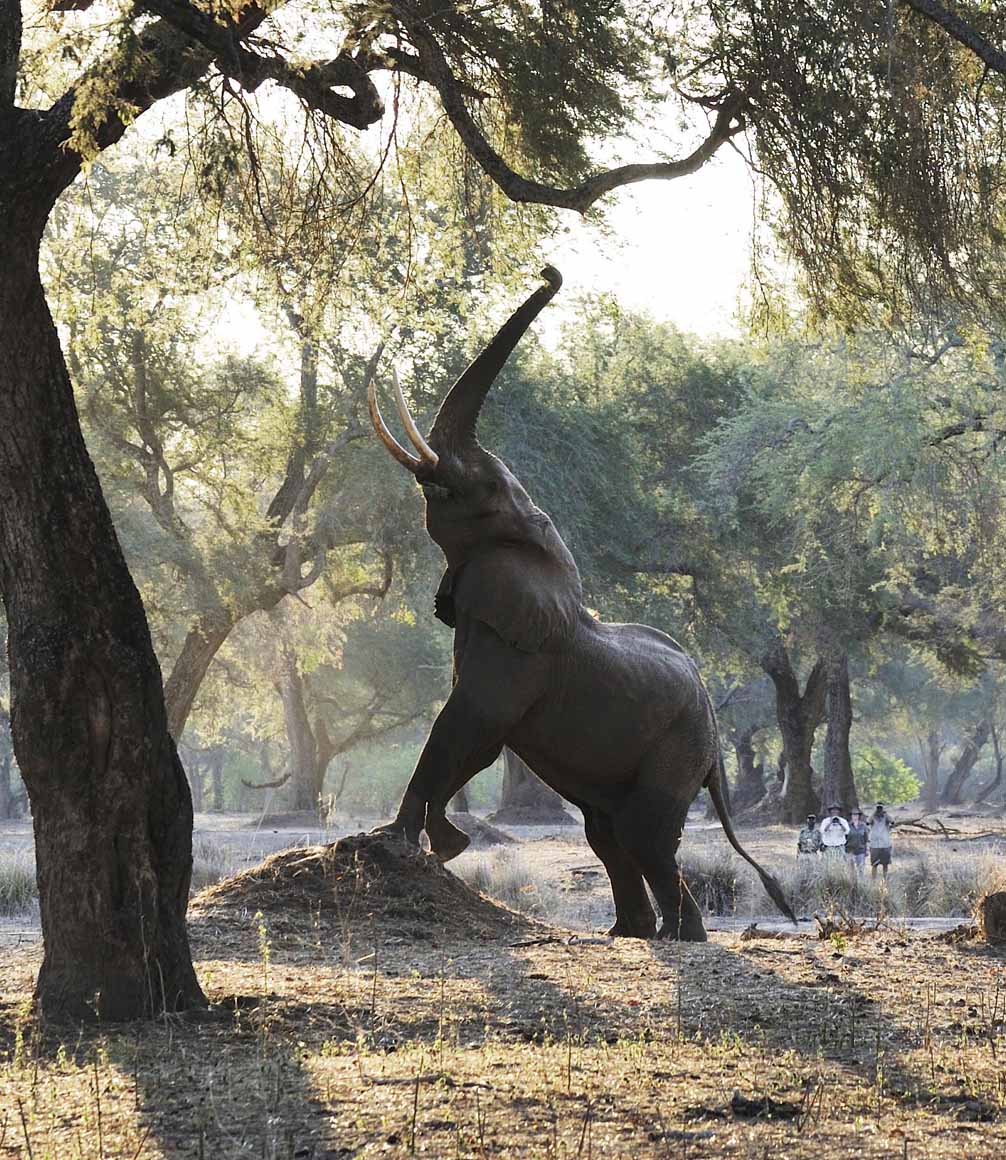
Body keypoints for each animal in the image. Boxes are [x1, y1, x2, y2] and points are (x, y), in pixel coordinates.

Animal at [368, 266, 793, 937]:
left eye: (486, 487)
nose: (548, 270)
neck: (540, 541)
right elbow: (471, 731)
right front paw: (428, 843)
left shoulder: (523, 653)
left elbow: (474, 723)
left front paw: (411, 841)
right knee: (609, 833)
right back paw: (633, 934)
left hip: (681, 742)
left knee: (645, 834)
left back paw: (673, 938)